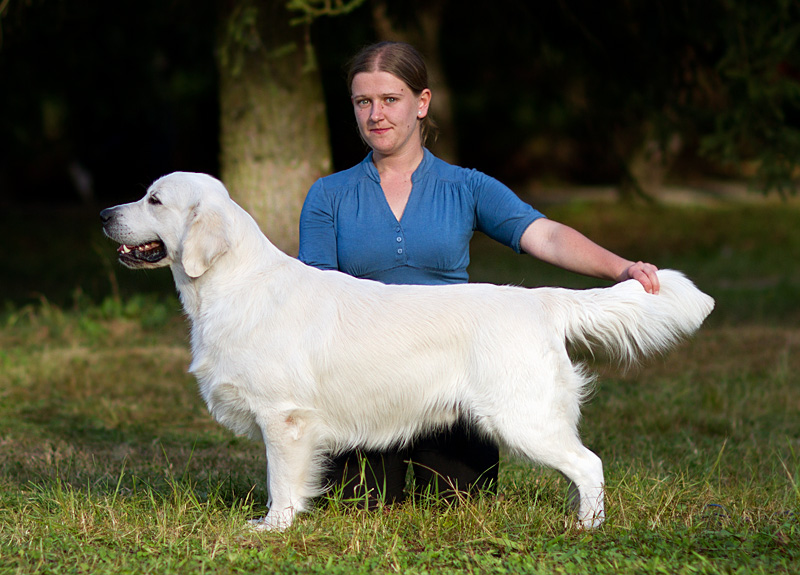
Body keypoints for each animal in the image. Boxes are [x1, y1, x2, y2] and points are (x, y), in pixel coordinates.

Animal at [100, 172, 714, 531]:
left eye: (154, 199)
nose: (105, 215)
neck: (232, 285)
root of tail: (542, 298)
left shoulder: (285, 418)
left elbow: (281, 483)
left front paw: (274, 529)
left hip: (524, 417)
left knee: (589, 464)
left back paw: (586, 528)